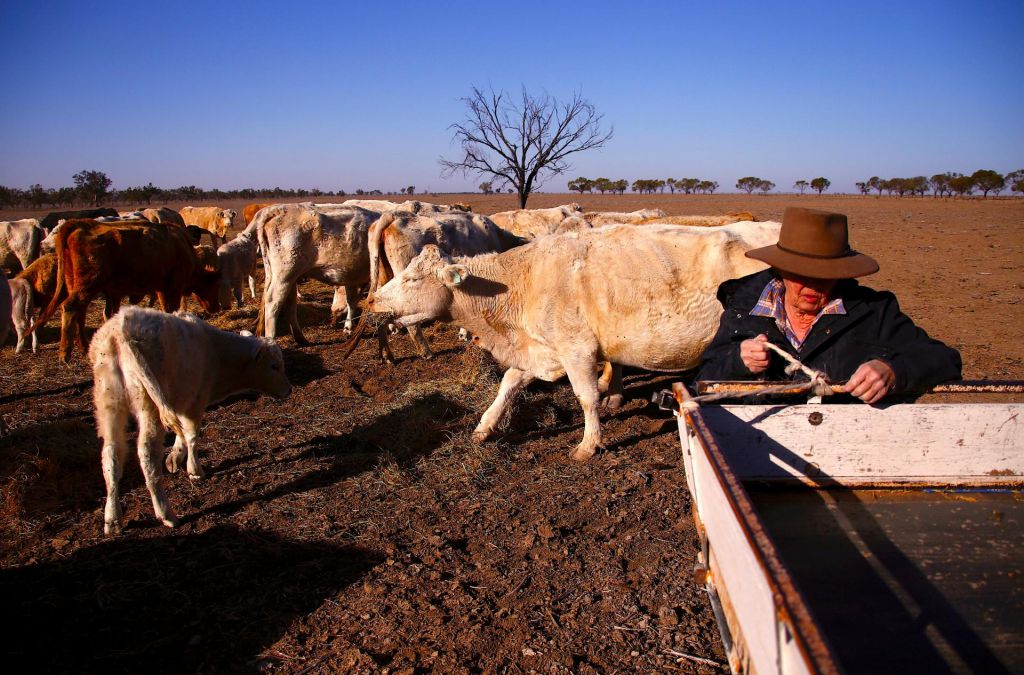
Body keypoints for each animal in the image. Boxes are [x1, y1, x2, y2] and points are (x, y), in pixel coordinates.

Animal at [33, 219, 221, 362]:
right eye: (215, 286)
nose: (217, 308)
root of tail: (82, 224)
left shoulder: (160, 289)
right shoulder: (173, 287)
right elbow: (171, 310)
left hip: (78, 286)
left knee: (81, 312)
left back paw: (84, 347)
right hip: (87, 285)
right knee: (70, 307)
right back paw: (65, 353)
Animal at [90, 305, 290, 532]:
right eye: (274, 366)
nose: (289, 389)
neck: (217, 353)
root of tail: (121, 333)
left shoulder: (181, 403)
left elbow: (182, 435)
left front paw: (175, 457)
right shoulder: (195, 402)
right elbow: (192, 436)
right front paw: (194, 470)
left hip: (109, 403)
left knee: (111, 455)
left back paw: (112, 518)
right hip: (148, 405)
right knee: (147, 455)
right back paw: (166, 513)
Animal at [372, 222, 778, 458]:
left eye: (412, 279)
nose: (372, 299)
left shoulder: (576, 350)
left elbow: (586, 397)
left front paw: (588, 444)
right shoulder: (543, 351)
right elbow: (508, 383)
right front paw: (484, 427)